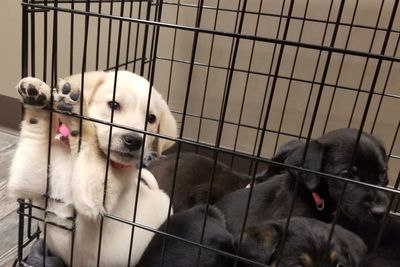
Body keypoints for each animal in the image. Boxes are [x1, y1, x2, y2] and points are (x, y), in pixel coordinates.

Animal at [7, 70, 177, 266]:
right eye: (114, 105)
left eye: (151, 119)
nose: (134, 140)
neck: (73, 158)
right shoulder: (30, 180)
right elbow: (36, 134)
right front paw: (37, 97)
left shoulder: (95, 199)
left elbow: (90, 142)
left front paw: (78, 115)